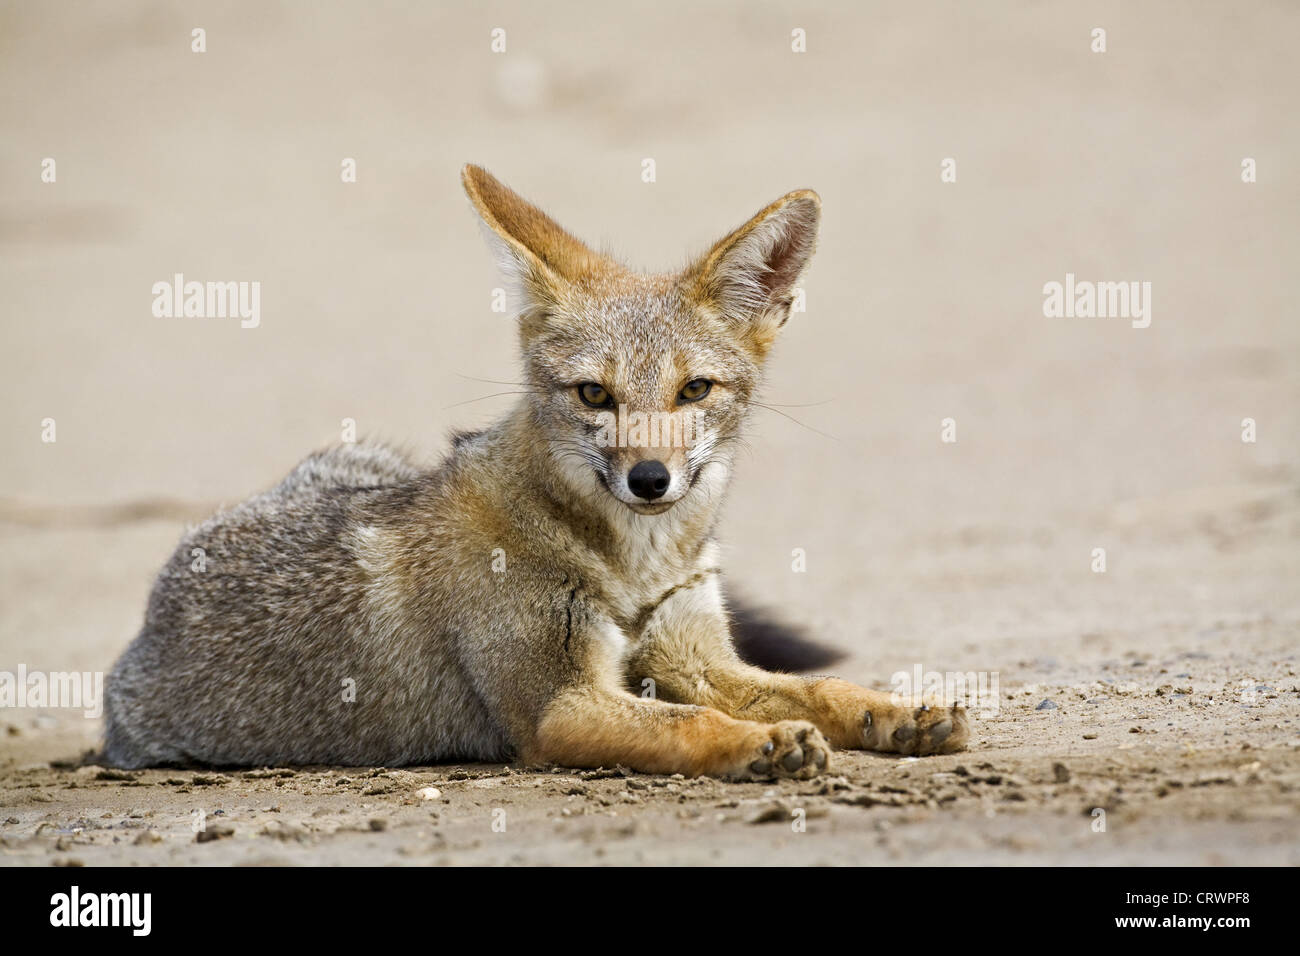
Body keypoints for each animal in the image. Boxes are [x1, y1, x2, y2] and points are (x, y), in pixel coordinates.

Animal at [104, 164, 967, 780]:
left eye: (694, 390)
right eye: (594, 394)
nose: (649, 479)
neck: (636, 571)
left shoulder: (695, 657)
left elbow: (819, 688)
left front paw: (898, 712)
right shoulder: (563, 706)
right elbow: (687, 722)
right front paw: (764, 744)